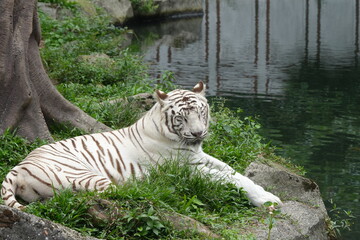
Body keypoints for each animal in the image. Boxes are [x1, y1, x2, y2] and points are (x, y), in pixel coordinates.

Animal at [0, 81, 282, 209]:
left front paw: (265, 192)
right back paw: (155, 189)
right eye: (181, 117)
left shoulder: (200, 156)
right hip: (87, 175)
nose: (198, 132)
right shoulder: (188, 167)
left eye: (200, 112)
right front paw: (269, 200)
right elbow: (229, 179)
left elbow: (234, 172)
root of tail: (18, 166)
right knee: (114, 193)